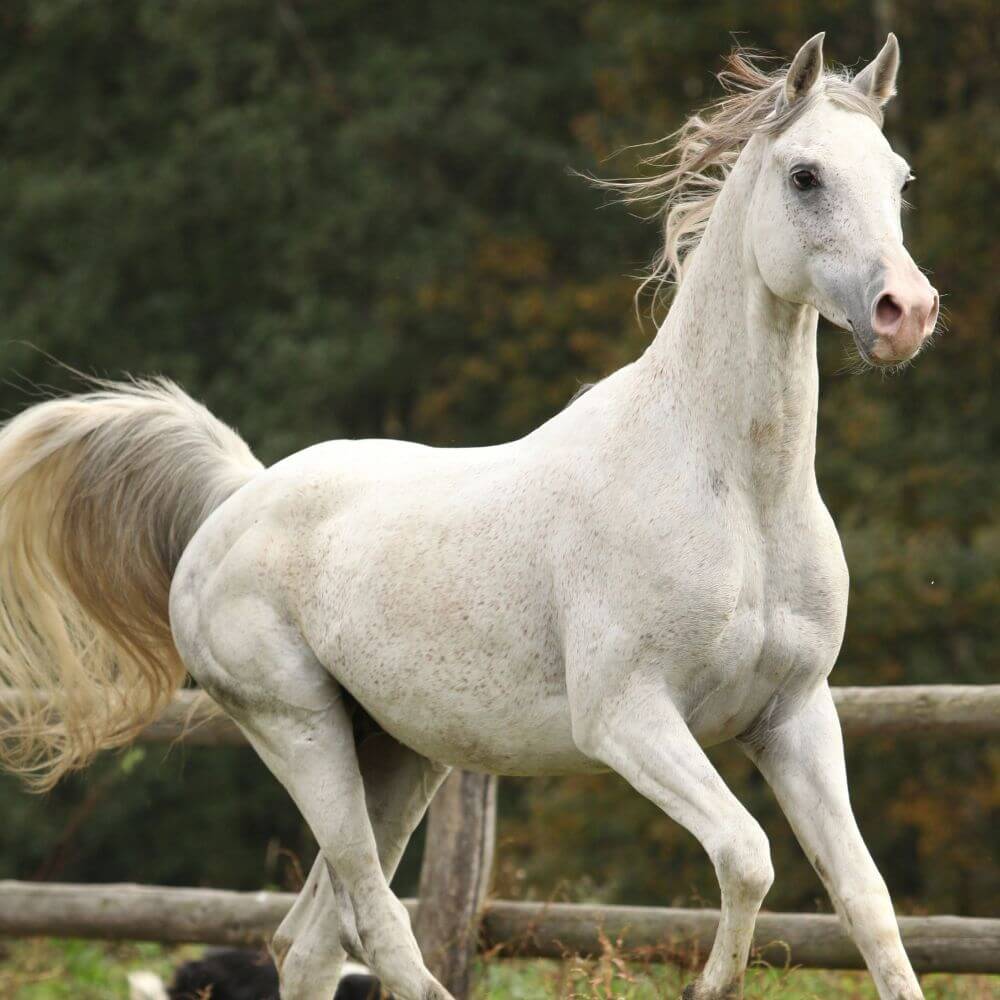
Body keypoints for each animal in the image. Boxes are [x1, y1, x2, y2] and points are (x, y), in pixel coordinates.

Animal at [0, 31, 936, 1000]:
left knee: (310, 940)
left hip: (399, 755)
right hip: (302, 734)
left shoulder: (794, 719)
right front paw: (708, 987)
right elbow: (748, 857)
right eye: (805, 175)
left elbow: (866, 903)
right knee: (379, 929)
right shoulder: (629, 719)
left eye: (899, 177)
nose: (907, 313)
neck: (738, 493)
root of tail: (237, 498)